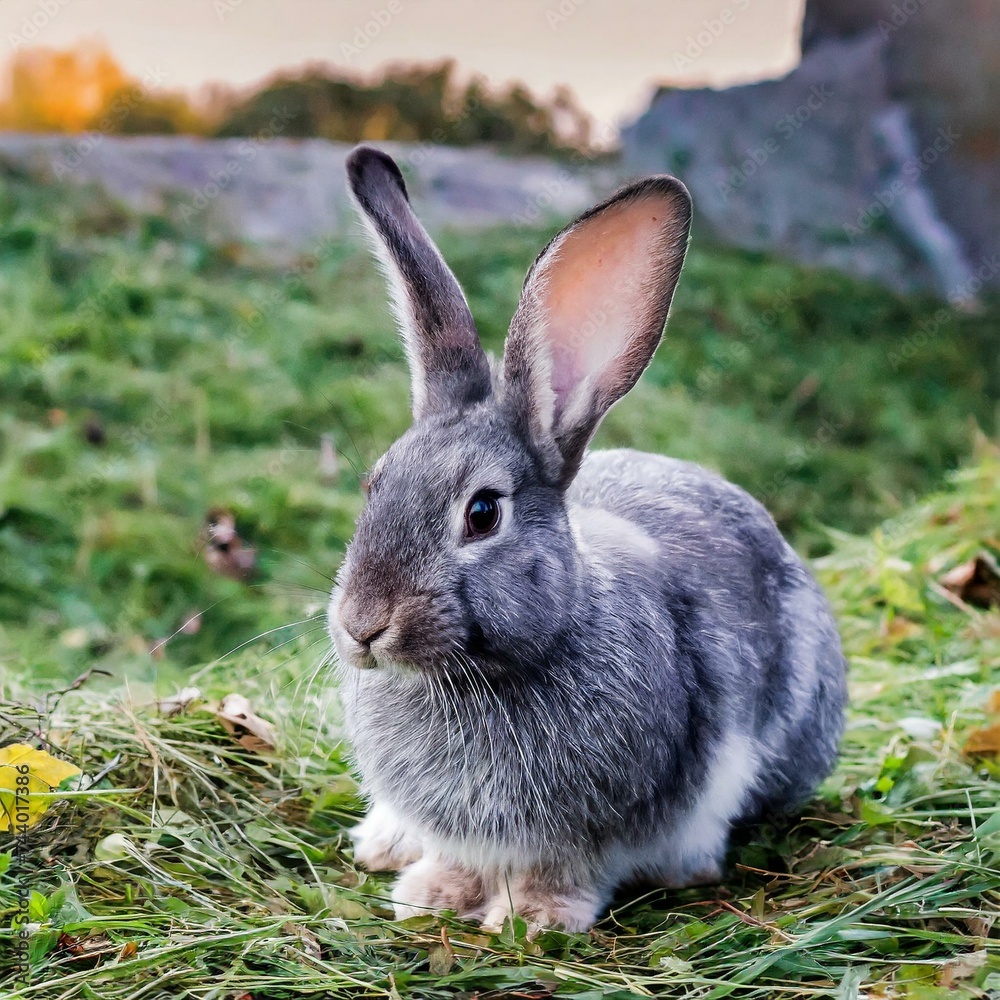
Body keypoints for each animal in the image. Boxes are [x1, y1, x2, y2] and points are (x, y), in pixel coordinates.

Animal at [328, 145, 848, 934]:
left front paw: (534, 918)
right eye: (373, 485)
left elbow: (566, 868)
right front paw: (433, 895)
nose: (362, 626)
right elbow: (456, 856)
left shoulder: (604, 826)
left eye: (484, 513)